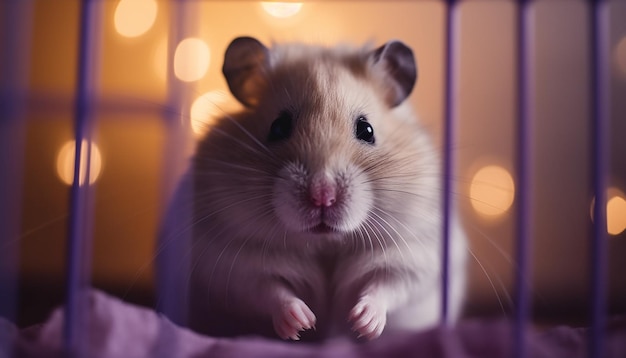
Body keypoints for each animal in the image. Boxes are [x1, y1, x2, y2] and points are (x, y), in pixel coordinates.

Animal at [158, 36, 466, 342]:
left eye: (367, 130)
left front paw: (362, 323)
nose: (322, 196)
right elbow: (269, 290)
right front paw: (302, 323)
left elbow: (387, 285)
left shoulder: (415, 254)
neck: (325, 244)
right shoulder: (231, 264)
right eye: (278, 127)